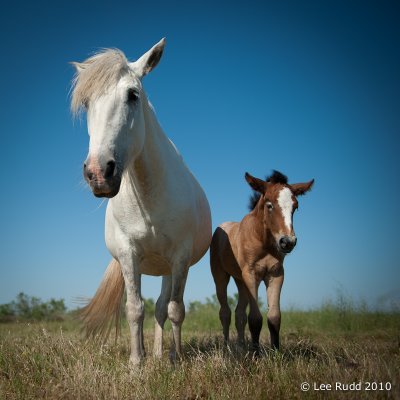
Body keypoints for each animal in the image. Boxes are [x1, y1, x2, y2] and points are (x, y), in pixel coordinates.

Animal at [71, 38, 212, 366]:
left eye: (132, 95)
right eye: (86, 104)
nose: (98, 173)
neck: (148, 196)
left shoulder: (180, 257)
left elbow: (175, 310)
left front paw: (175, 358)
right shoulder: (128, 254)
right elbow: (134, 309)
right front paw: (136, 363)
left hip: (169, 269)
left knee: (163, 307)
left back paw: (163, 354)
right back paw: (151, 354)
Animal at [211, 170, 314, 352]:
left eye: (295, 207)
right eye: (269, 205)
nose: (287, 242)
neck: (263, 242)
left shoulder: (276, 274)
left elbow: (274, 316)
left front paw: (276, 352)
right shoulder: (252, 274)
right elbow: (255, 318)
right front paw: (256, 353)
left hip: (240, 280)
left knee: (239, 313)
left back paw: (241, 347)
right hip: (220, 276)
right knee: (225, 312)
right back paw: (227, 347)